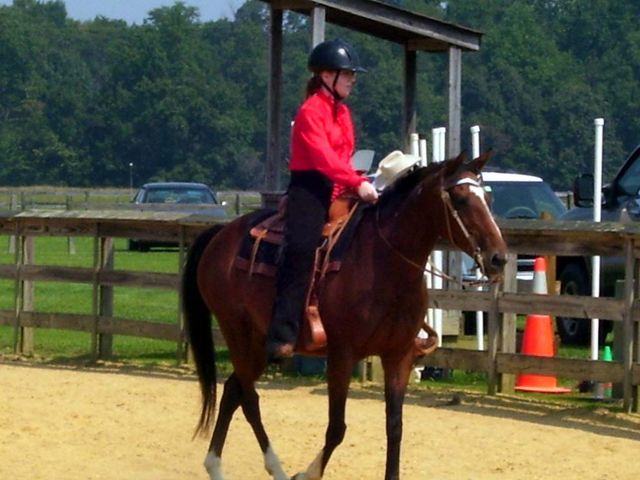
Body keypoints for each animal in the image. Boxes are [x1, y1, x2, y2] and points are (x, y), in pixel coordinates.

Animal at [182, 151, 508, 480]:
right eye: (460, 198)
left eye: (488, 199)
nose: (499, 258)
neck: (383, 263)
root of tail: (220, 234)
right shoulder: (342, 355)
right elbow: (336, 428)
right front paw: (307, 473)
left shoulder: (399, 355)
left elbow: (395, 427)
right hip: (237, 332)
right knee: (249, 398)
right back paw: (276, 467)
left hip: (258, 343)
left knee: (233, 390)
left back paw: (217, 466)